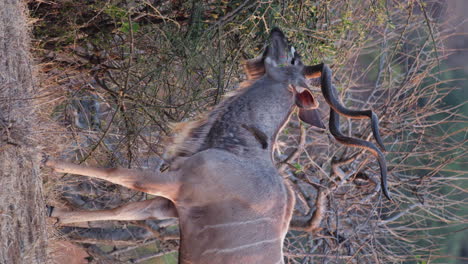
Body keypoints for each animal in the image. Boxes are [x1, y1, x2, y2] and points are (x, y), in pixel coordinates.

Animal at [45, 27, 390, 262]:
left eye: (292, 57)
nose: (277, 31)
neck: (242, 149)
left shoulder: (176, 184)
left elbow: (119, 173)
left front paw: (48, 163)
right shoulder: (169, 205)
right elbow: (124, 210)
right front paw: (55, 214)